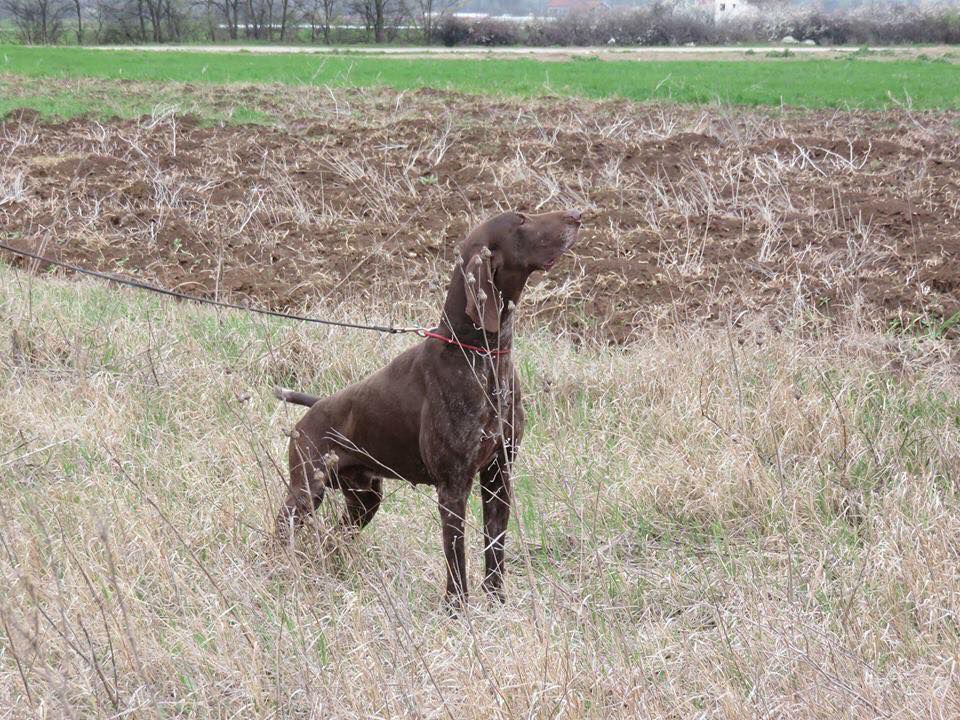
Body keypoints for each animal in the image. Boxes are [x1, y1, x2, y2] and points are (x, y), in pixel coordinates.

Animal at [274, 210, 580, 608]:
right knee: (281, 530)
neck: (479, 354)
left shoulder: (498, 476)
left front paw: (497, 604)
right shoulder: (453, 487)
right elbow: (456, 557)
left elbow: (494, 549)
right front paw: (457, 610)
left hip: (364, 500)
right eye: (522, 221)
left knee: (335, 538)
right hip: (306, 493)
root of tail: (315, 406)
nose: (577, 214)